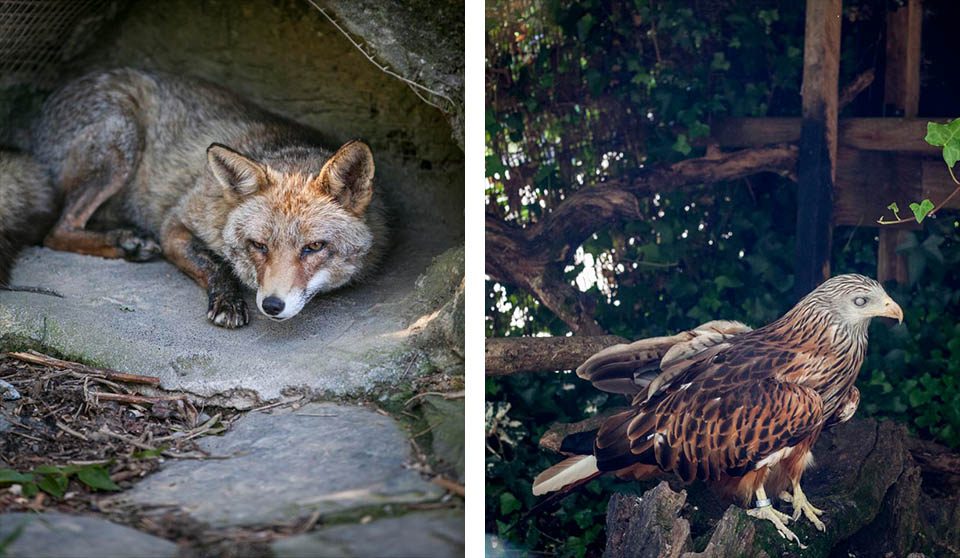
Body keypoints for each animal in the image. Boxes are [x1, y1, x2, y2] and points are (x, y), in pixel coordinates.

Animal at [13, 69, 386, 330]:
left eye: (314, 247)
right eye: (258, 245)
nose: (272, 305)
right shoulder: (176, 221)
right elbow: (212, 262)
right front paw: (228, 300)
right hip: (122, 142)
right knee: (56, 230)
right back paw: (123, 243)